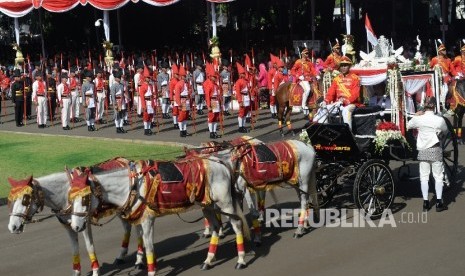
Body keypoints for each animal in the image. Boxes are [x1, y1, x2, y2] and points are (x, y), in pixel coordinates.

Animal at [6, 166, 145, 276]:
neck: (66, 193)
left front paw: (96, 270)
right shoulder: (69, 226)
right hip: (121, 209)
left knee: (138, 228)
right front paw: (76, 271)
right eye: (12, 200)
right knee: (127, 227)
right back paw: (121, 255)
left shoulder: (84, 223)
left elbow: (89, 246)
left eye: (25, 199)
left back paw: (139, 259)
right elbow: (74, 248)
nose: (12, 226)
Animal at [66, 155, 250, 276]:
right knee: (216, 227)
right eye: (70, 198)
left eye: (84, 198)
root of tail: (221, 163)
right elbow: (143, 243)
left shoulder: (147, 220)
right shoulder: (140, 220)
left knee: (236, 225)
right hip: (208, 205)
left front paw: (151, 271)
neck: (133, 185)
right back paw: (208, 260)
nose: (75, 225)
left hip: (225, 203)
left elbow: (149, 247)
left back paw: (241, 260)